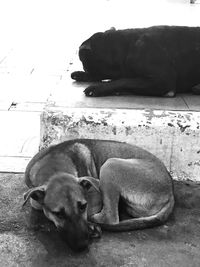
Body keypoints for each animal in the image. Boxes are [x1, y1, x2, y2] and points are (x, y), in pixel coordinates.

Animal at [22, 140, 174, 253]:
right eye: (58, 214)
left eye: (83, 206)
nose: (82, 245)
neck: (54, 167)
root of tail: (171, 193)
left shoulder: (95, 197)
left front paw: (90, 226)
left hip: (111, 165)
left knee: (110, 218)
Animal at [71, 25, 200, 97]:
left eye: (83, 61)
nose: (83, 68)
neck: (125, 48)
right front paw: (79, 74)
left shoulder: (163, 80)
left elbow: (123, 81)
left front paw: (98, 88)